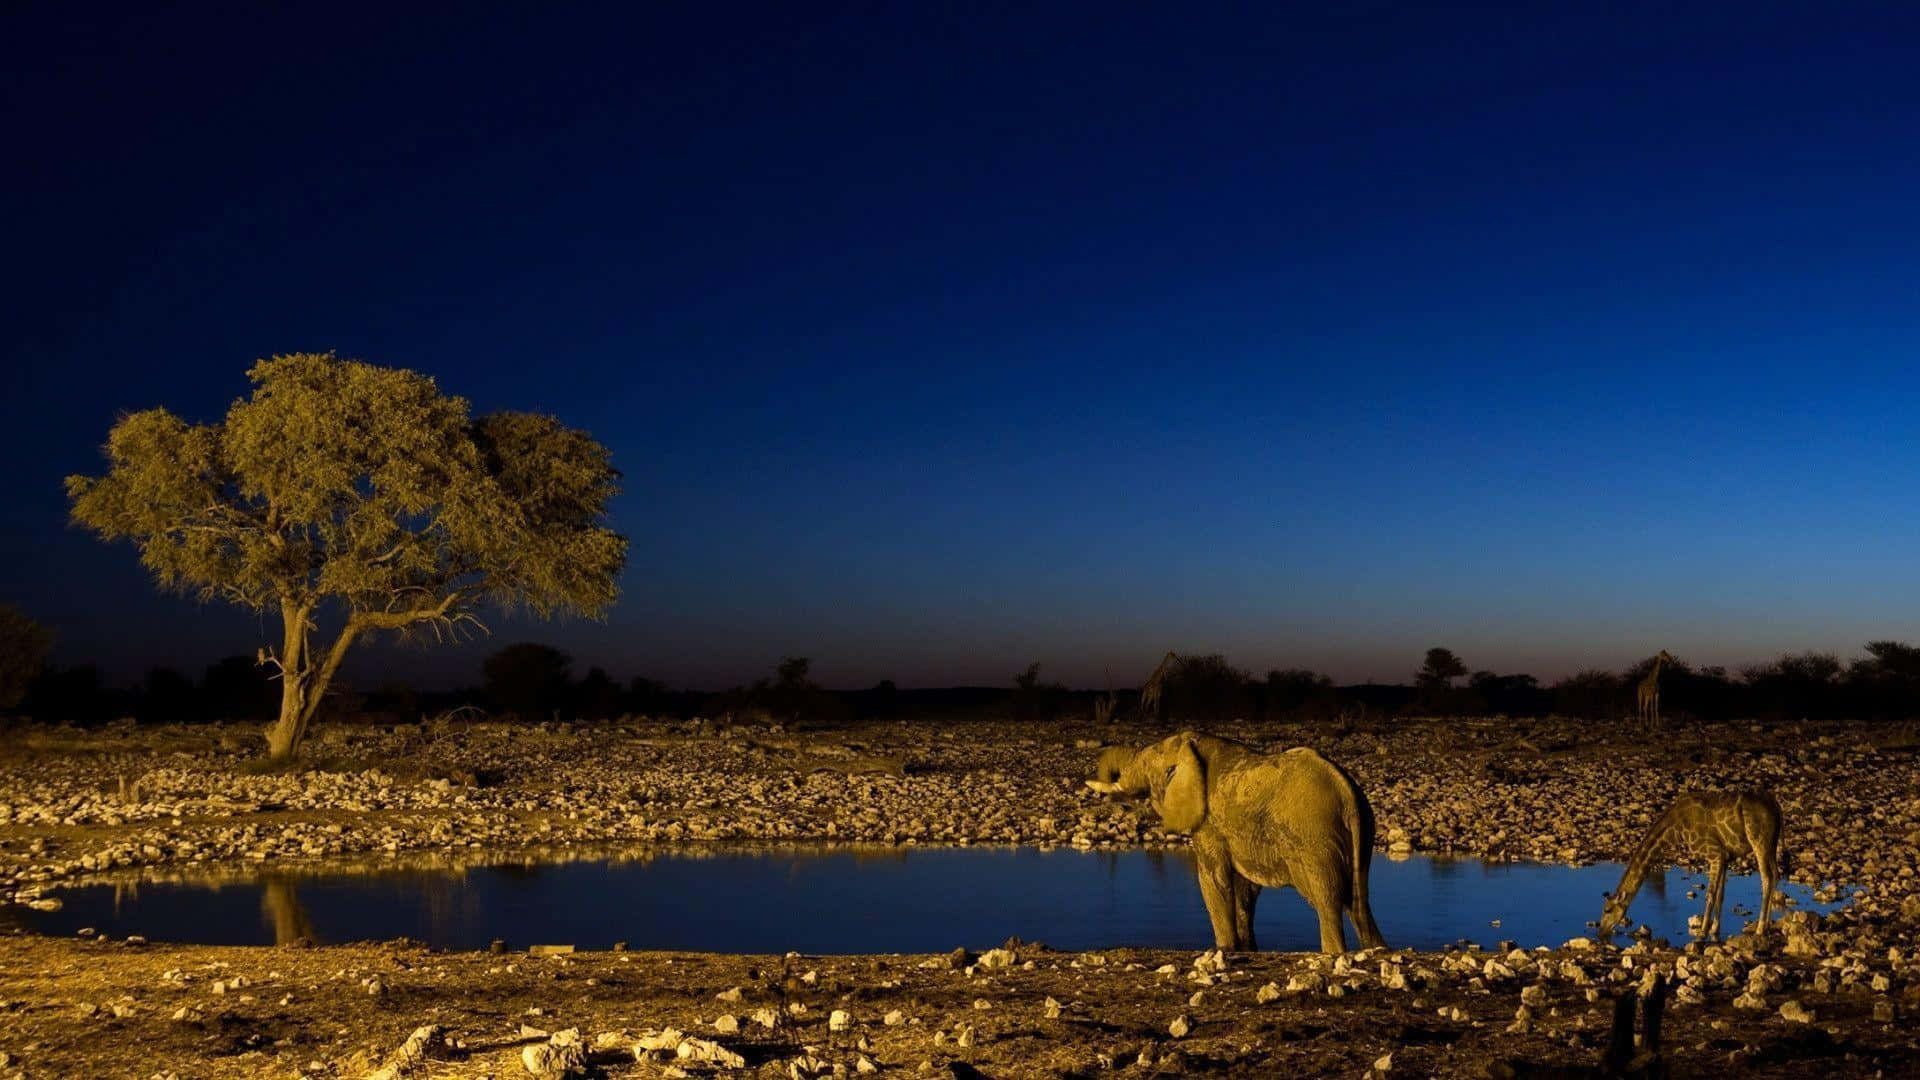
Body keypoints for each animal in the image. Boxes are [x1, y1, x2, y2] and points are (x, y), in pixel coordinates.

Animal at [1090, 730, 1390, 949]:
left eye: (1148, 761)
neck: (1193, 743)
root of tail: (1347, 792)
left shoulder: (1209, 823)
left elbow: (1213, 879)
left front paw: (1225, 949)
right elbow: (1245, 889)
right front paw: (1245, 949)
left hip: (1314, 836)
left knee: (1327, 900)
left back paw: (1334, 953)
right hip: (1362, 833)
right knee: (1359, 903)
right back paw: (1376, 950)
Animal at [1589, 787, 1781, 937]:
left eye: (1607, 909)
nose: (1600, 933)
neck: (1676, 829)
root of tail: (1776, 806)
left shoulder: (1714, 853)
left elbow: (1710, 894)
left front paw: (1702, 931)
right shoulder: (1725, 856)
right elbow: (1720, 894)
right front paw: (1714, 930)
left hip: (1759, 841)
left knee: (1766, 877)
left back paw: (1760, 928)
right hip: (1772, 843)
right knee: (1776, 875)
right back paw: (1767, 926)